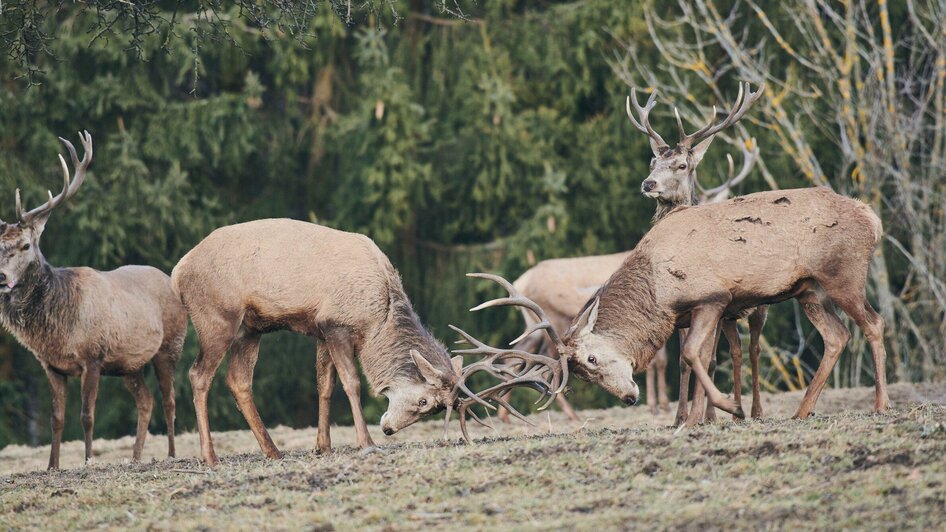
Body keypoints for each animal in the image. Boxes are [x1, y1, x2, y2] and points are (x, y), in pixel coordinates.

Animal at [0, 131, 186, 468]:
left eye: (25, 245)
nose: (2, 277)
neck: (57, 328)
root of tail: (171, 280)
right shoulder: (51, 365)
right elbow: (56, 418)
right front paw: (52, 466)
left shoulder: (93, 356)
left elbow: (87, 415)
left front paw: (88, 460)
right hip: (129, 365)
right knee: (146, 400)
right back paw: (136, 457)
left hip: (170, 347)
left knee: (169, 399)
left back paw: (170, 454)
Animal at [628, 82, 768, 424]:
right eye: (652, 163)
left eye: (681, 165)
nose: (648, 183)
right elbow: (684, 359)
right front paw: (680, 416)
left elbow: (707, 358)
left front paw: (705, 416)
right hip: (731, 315)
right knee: (736, 351)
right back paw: (734, 411)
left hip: (759, 304)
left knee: (754, 348)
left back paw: (755, 411)